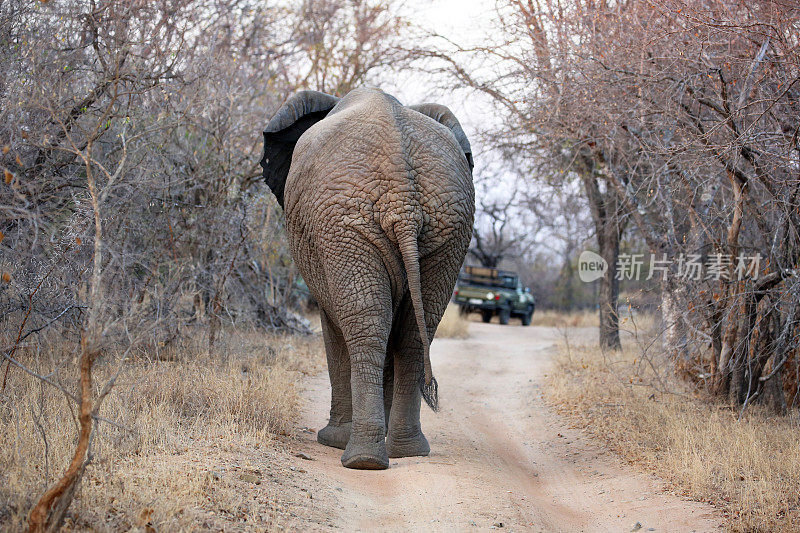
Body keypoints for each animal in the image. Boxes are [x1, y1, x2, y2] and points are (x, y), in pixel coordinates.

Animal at [262, 87, 476, 470]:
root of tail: (404, 198)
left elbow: (333, 325)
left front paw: (331, 440)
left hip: (344, 224)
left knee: (364, 324)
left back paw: (360, 458)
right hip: (449, 228)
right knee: (414, 333)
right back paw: (406, 450)